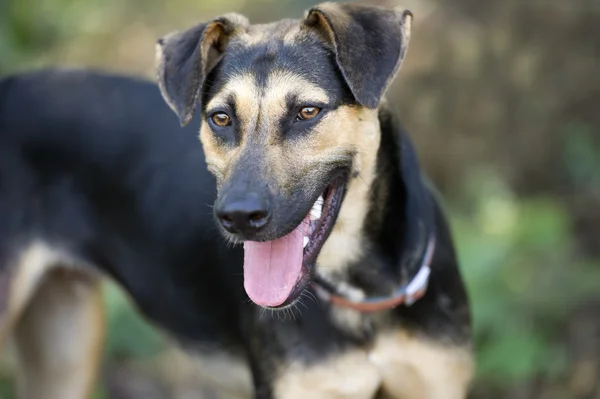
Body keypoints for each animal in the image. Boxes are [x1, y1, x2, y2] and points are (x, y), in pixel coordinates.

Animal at [0, 3, 474, 399]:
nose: (239, 217)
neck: (361, 288)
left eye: (307, 112)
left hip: (64, 344)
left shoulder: (435, 383)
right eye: (221, 118)